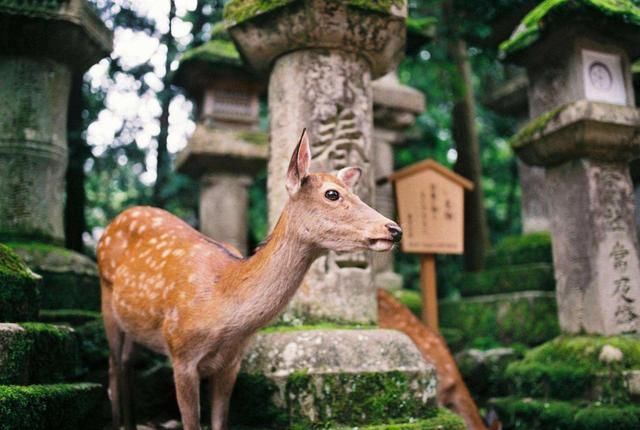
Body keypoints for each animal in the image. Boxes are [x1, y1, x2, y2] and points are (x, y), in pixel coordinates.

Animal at [97, 129, 403, 430]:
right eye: (332, 194)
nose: (394, 229)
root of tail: (111, 224)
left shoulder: (232, 362)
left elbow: (220, 422)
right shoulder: (180, 352)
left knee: (126, 362)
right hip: (107, 299)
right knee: (112, 367)